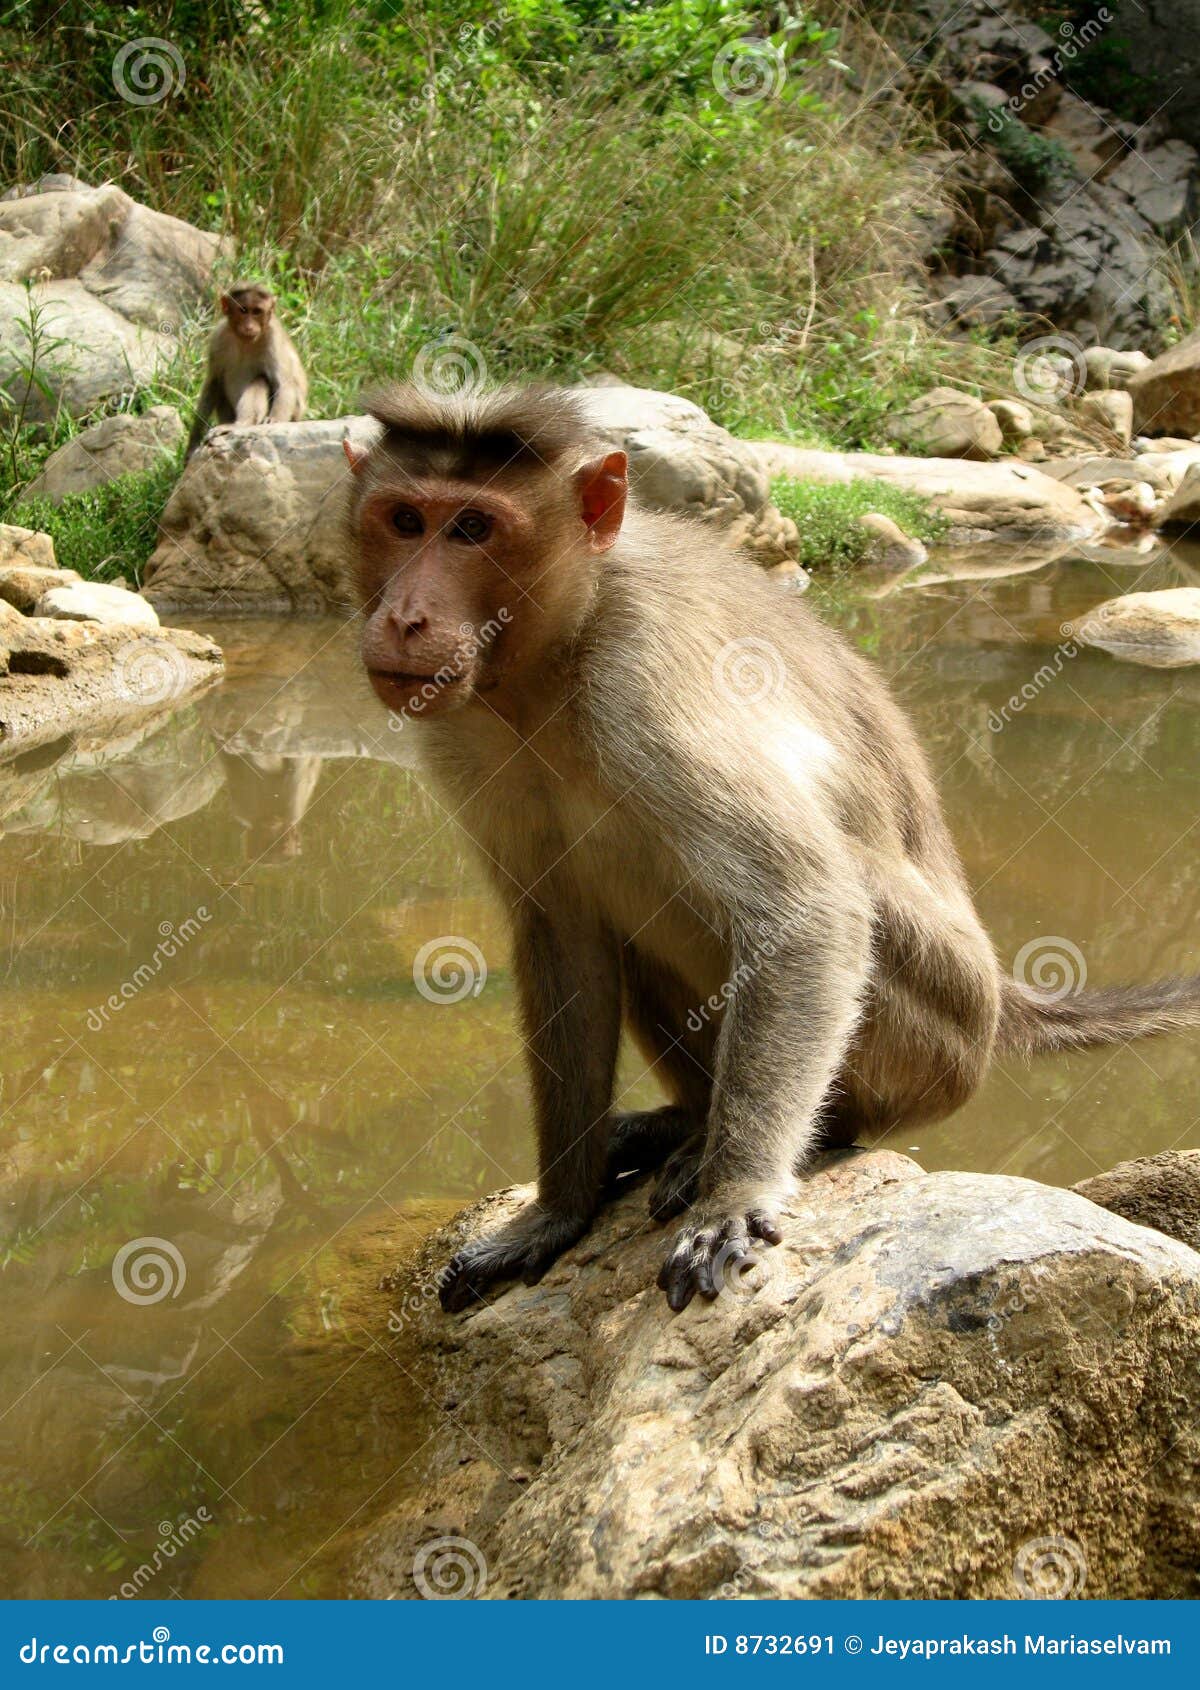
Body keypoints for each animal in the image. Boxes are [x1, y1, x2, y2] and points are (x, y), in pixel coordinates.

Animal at [185, 283, 310, 459]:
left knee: (261, 379)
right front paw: (192, 443)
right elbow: (213, 382)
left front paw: (275, 419)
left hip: (295, 415)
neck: (245, 342)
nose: (249, 326)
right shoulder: (218, 336)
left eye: (257, 311)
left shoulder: (273, 339)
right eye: (243, 310)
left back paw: (241, 424)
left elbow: (285, 385)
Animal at [341, 387, 1200, 1318]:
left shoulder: (645, 678)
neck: (550, 662)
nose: (404, 615)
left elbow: (806, 910)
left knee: (839, 890)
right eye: (403, 520)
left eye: (472, 529)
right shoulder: (459, 731)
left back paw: (783, 1139)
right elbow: (561, 933)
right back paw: (682, 1123)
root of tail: (1002, 1002)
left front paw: (736, 1193)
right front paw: (557, 1211)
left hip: (943, 1038)